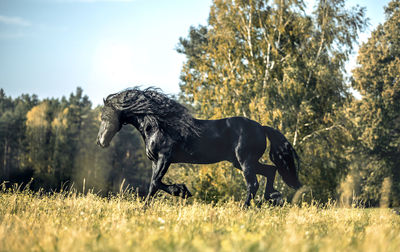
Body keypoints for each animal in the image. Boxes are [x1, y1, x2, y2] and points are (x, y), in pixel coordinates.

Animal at [98, 87, 302, 206]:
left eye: (105, 117)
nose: (101, 141)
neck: (157, 126)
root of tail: (261, 127)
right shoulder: (156, 161)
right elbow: (155, 184)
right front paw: (181, 191)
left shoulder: (165, 158)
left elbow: (154, 183)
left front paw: (175, 194)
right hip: (241, 162)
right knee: (271, 170)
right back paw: (273, 197)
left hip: (245, 161)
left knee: (253, 183)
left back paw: (245, 208)